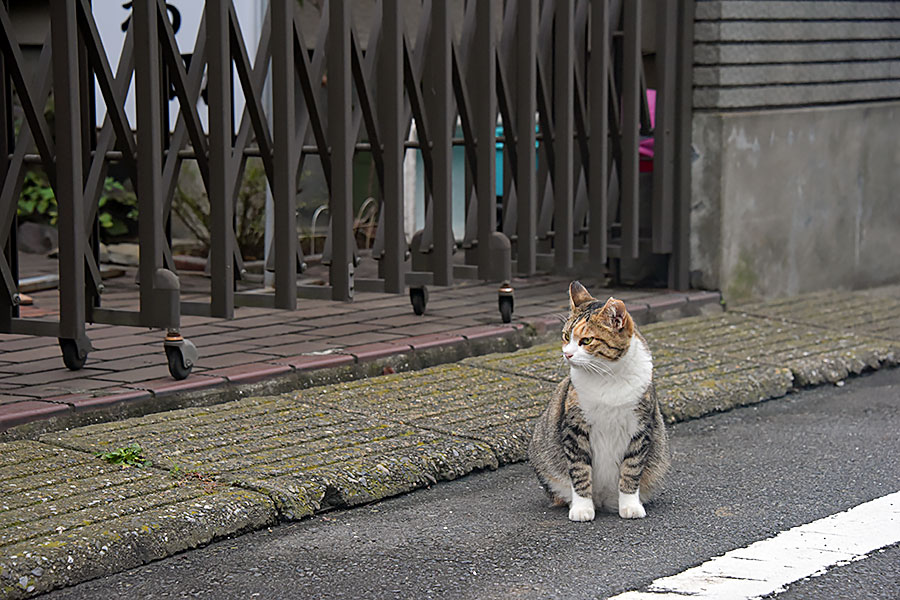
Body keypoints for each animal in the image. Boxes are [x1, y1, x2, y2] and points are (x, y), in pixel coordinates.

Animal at [528, 282, 668, 520]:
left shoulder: (641, 428)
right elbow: (579, 470)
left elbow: (631, 469)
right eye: (565, 336)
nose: (567, 354)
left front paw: (630, 506)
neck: (607, 377)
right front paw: (582, 508)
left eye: (586, 340)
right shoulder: (575, 428)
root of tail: (603, 500)